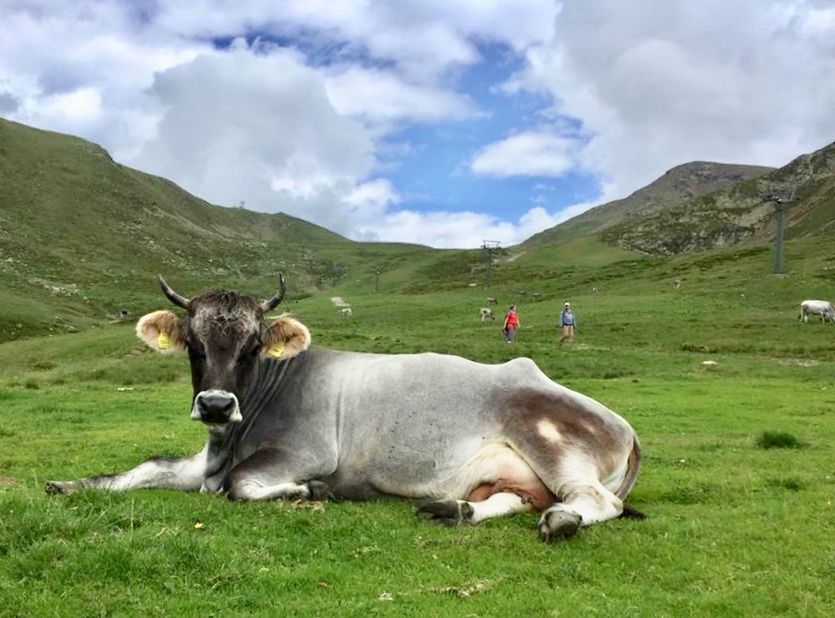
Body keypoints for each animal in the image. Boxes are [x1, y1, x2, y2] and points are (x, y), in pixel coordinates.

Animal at [45, 274, 644, 540]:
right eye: (194, 345)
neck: (230, 440)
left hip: (550, 441)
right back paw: (452, 510)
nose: (215, 404)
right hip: (512, 477)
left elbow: (242, 486)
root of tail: (626, 426)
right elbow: (144, 466)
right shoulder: (204, 461)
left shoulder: (306, 452)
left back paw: (561, 519)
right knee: (512, 500)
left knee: (594, 501)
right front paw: (66, 484)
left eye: (253, 346)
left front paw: (309, 492)